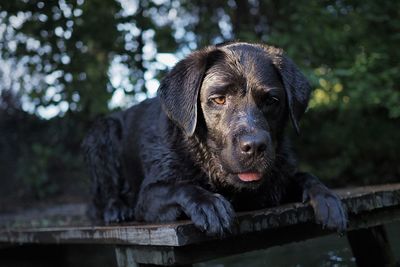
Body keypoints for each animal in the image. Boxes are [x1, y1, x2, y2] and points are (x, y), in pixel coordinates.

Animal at [83, 42, 346, 237]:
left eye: (271, 100)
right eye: (219, 99)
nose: (254, 146)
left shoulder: (277, 181)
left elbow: (303, 175)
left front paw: (326, 198)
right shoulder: (148, 195)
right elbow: (181, 186)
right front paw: (209, 204)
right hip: (101, 134)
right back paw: (117, 210)